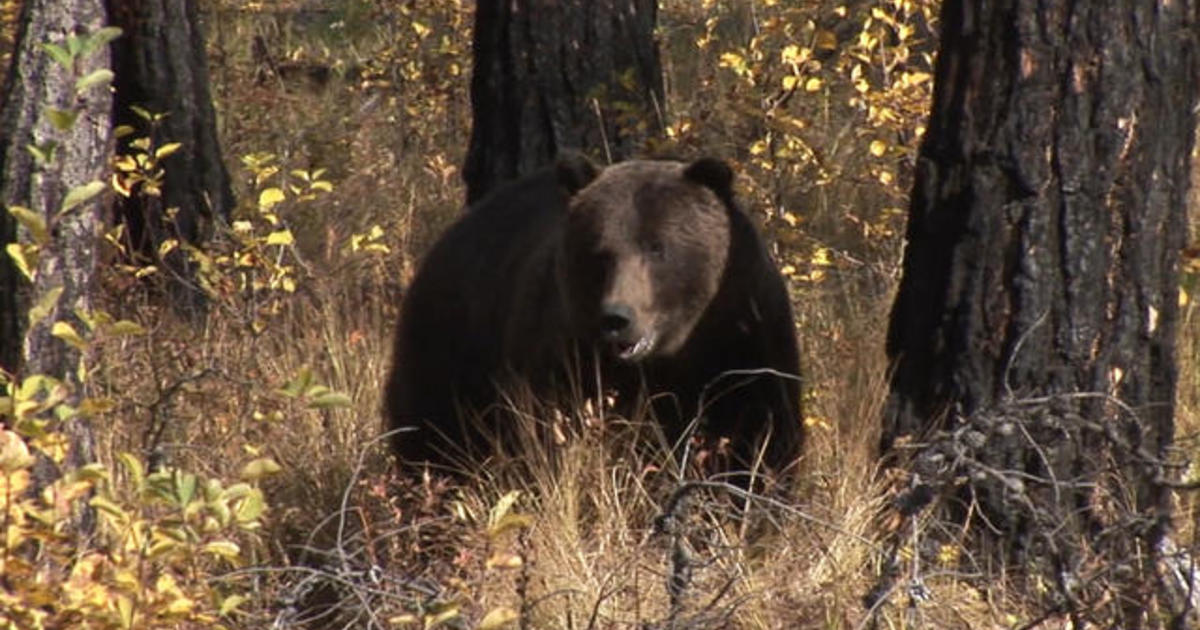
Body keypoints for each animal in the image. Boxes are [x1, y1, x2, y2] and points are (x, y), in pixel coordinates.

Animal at [384, 152, 801, 477]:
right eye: (600, 252)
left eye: (657, 247)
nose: (617, 318)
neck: (669, 356)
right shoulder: (564, 353)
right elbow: (547, 435)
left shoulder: (740, 343)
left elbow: (757, 437)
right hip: (448, 354)